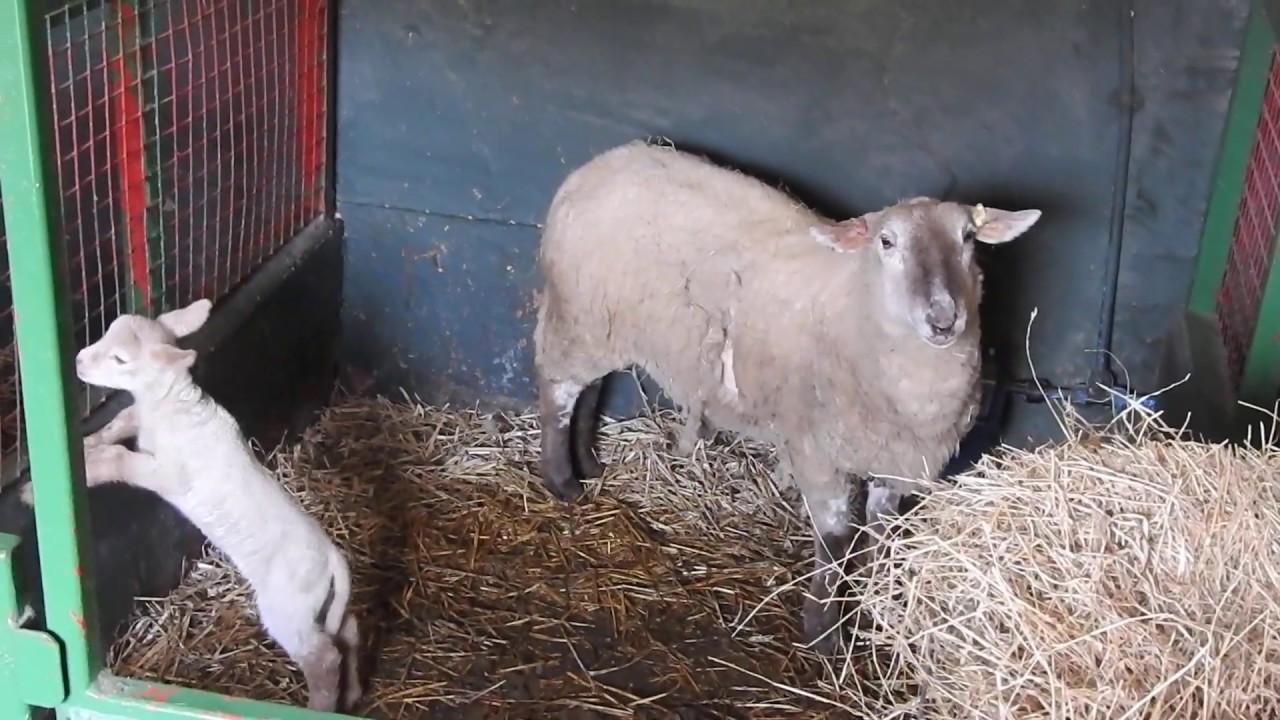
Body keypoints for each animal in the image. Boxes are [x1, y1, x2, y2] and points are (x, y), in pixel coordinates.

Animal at [74, 299, 362, 712]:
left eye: (119, 359)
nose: (79, 361)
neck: (170, 403)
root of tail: (332, 556)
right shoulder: (141, 423)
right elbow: (119, 423)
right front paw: (82, 447)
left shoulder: (169, 474)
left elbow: (119, 459)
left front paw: (86, 467)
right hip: (321, 604)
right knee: (347, 629)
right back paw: (353, 691)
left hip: (288, 608)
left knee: (323, 657)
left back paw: (319, 706)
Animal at [532, 141, 1041, 653]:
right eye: (886, 241)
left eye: (969, 238)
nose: (943, 319)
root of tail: (601, 161)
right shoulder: (816, 450)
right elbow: (835, 537)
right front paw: (822, 629)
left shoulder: (896, 461)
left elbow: (882, 534)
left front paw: (875, 603)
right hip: (579, 316)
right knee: (559, 391)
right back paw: (563, 480)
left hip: (603, 325)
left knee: (590, 387)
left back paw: (588, 463)